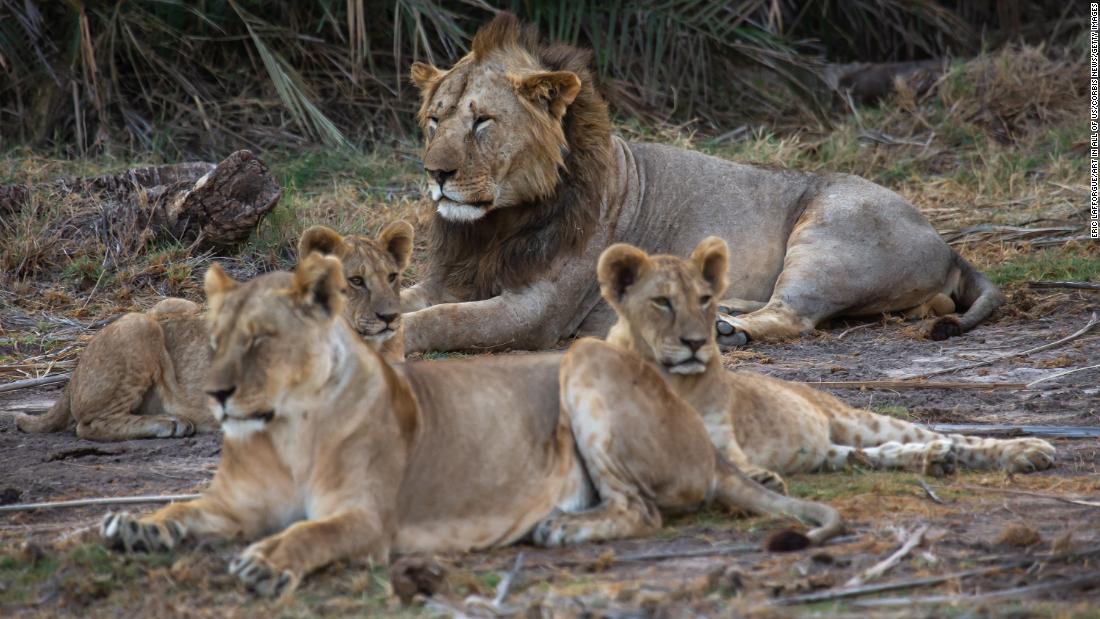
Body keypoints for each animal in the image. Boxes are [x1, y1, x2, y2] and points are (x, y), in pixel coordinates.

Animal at [12, 221, 413, 441]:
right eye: (356, 280)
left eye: (392, 277)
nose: (391, 317)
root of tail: (73, 373)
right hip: (140, 325)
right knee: (88, 424)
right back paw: (170, 423)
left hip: (170, 304)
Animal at [100, 252, 842, 597]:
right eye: (216, 340)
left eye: (259, 340)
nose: (217, 394)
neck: (282, 431)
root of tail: (706, 447)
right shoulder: (230, 503)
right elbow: (182, 508)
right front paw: (134, 524)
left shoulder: (368, 519)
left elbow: (312, 533)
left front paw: (265, 562)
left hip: (583, 357)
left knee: (642, 509)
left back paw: (562, 527)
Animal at [399, 13, 1001, 354]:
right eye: (434, 119)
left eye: (482, 122)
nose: (436, 173)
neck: (493, 226)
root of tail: (947, 243)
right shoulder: (449, 279)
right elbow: (406, 299)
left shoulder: (537, 313)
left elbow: (442, 322)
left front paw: (392, 340)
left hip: (828, 236)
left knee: (795, 316)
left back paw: (729, 331)